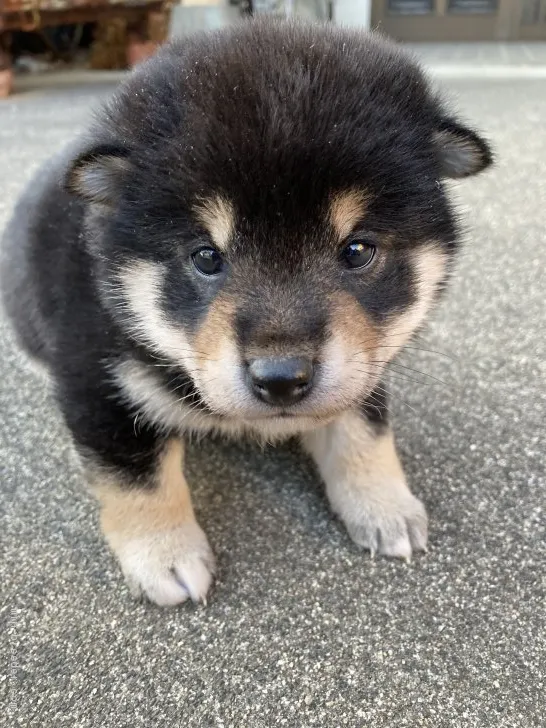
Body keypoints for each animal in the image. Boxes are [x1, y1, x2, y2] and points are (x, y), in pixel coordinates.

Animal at [0, 19, 490, 604]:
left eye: (357, 251)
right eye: (207, 257)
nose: (281, 379)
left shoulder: (367, 363)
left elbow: (362, 429)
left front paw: (383, 504)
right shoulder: (96, 380)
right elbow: (139, 476)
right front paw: (164, 554)